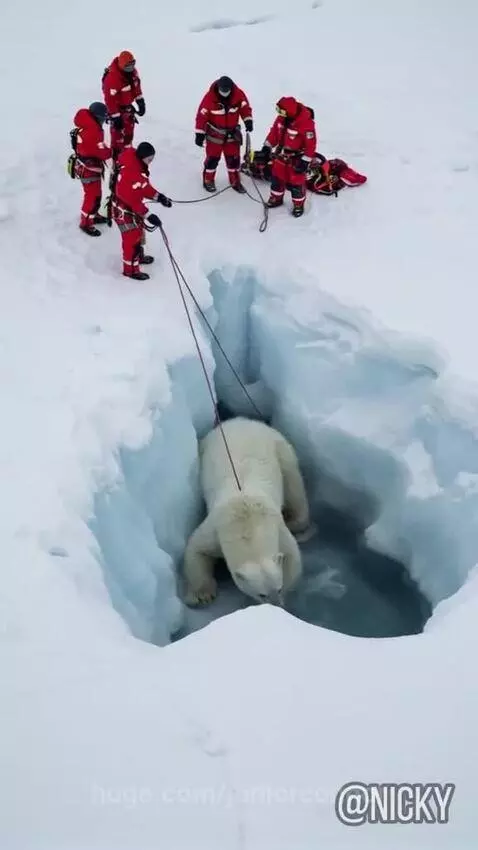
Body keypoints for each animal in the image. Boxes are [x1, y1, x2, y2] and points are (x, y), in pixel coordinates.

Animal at [182, 416, 312, 607]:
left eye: (278, 588)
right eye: (261, 594)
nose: (276, 605)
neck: (247, 524)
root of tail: (242, 420)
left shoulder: (276, 528)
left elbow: (292, 556)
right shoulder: (216, 531)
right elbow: (195, 550)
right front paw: (202, 595)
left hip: (281, 449)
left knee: (294, 487)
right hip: (204, 447)